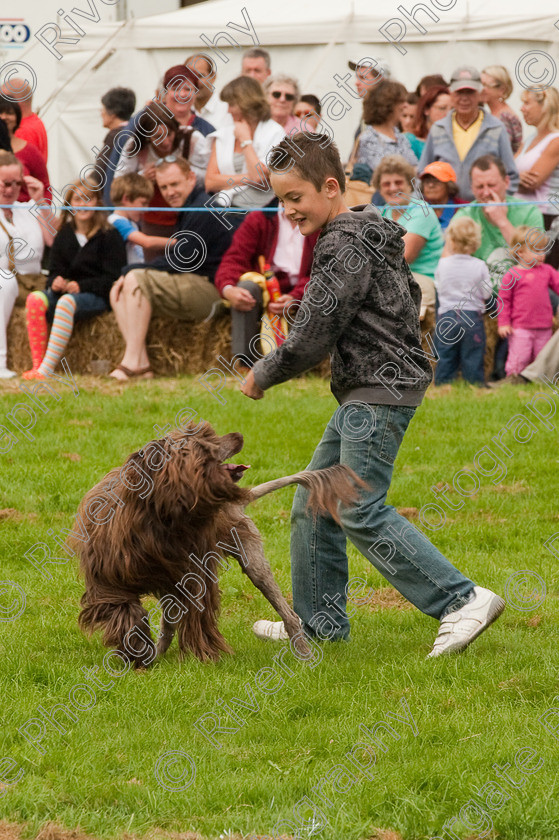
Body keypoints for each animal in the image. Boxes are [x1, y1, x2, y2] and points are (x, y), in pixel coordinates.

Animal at [71, 424, 368, 668]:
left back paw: (304, 654)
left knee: (289, 615)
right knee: (167, 623)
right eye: (203, 444)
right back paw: (156, 652)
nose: (239, 435)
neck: (161, 517)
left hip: (252, 561)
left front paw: (200, 653)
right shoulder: (109, 582)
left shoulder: (192, 576)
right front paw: (138, 652)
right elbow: (128, 612)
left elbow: (191, 616)